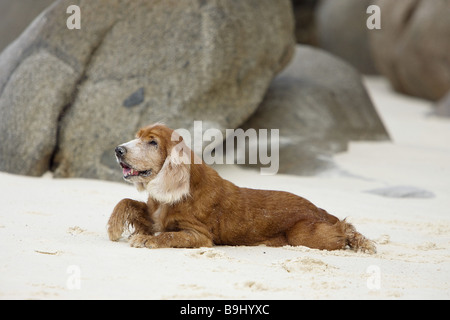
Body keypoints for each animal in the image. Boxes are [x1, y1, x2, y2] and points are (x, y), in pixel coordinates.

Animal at [106, 122, 376, 252]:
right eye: (137, 137)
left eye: (152, 142)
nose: (118, 150)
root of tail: (320, 210)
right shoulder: (154, 216)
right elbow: (127, 202)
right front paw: (115, 227)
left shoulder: (198, 234)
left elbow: (168, 235)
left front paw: (145, 240)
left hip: (305, 235)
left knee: (344, 227)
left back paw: (364, 243)